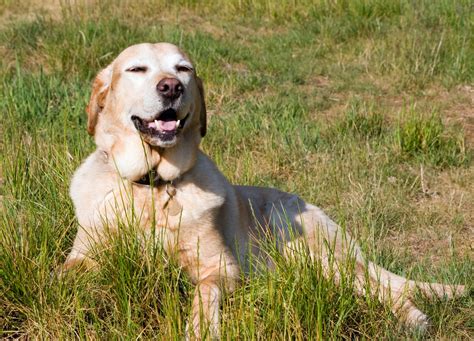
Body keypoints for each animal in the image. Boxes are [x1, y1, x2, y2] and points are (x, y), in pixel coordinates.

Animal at [65, 42, 466, 338]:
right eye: (137, 70)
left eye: (183, 69)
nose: (171, 87)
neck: (151, 187)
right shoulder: (84, 255)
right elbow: (66, 277)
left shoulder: (221, 267)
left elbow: (204, 293)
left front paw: (201, 329)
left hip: (302, 245)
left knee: (383, 288)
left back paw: (413, 319)